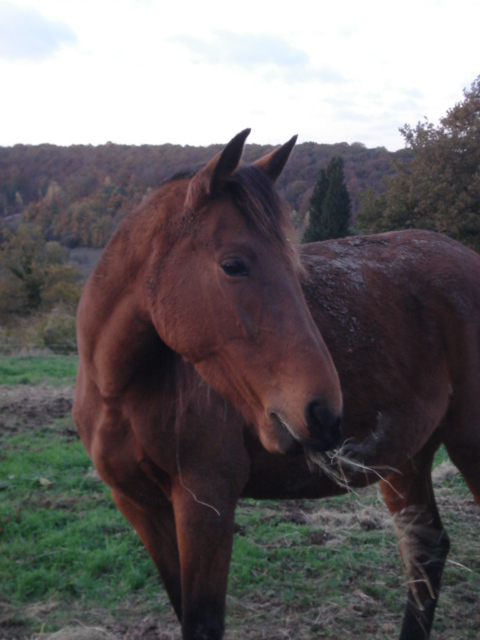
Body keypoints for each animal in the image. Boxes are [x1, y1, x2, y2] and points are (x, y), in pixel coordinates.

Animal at [72, 130, 480, 640]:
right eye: (233, 265)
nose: (324, 413)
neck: (122, 391)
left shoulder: (206, 502)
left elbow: (202, 621)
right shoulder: (140, 507)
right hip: (405, 460)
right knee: (423, 548)